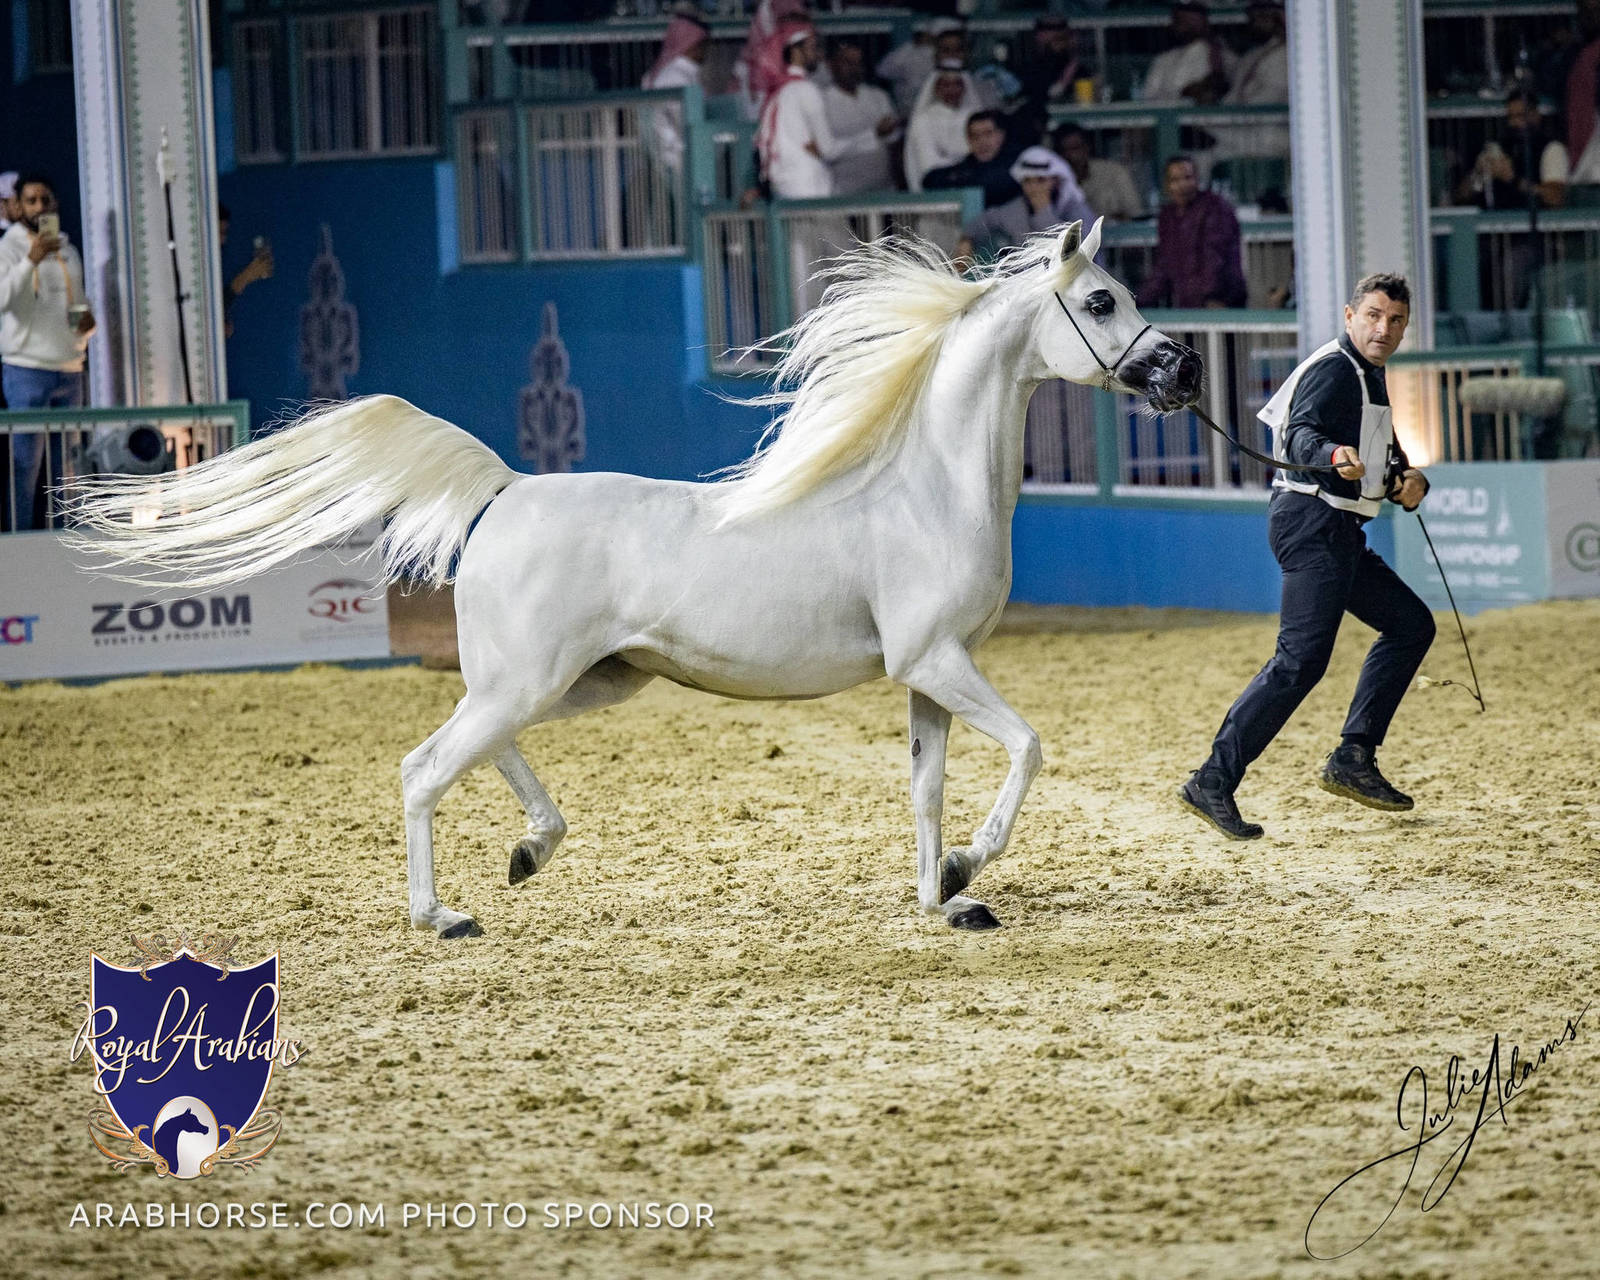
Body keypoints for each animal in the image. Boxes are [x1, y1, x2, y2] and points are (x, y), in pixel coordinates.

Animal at [68, 218, 1202, 939]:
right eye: (1102, 298)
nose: (1182, 370)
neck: (924, 485)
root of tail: (506, 490)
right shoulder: (939, 660)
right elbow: (1029, 746)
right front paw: (970, 868)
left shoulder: (926, 673)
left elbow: (927, 789)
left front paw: (947, 895)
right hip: (536, 681)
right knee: (425, 767)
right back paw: (443, 915)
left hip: (574, 682)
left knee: (482, 748)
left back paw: (531, 851)